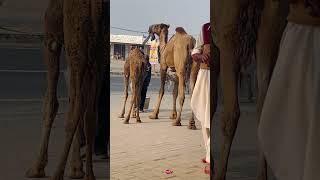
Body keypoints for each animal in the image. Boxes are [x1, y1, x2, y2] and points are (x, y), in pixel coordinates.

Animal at [25, 0, 107, 180]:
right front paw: (76, 169)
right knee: (90, 113)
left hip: (77, 42)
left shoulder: (52, 38)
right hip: (97, 52)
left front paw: (37, 168)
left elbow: (51, 103)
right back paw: (89, 175)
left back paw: (57, 173)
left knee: (76, 109)